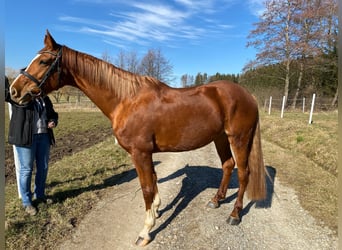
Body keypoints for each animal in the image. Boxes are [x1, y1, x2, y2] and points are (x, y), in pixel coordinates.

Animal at [10, 30, 268, 246]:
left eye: (44, 61)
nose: (14, 91)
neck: (126, 100)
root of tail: (249, 95)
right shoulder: (146, 153)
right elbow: (153, 181)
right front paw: (156, 210)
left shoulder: (140, 152)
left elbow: (146, 187)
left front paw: (145, 231)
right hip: (220, 138)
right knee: (228, 165)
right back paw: (216, 200)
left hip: (238, 138)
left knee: (243, 173)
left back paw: (234, 214)